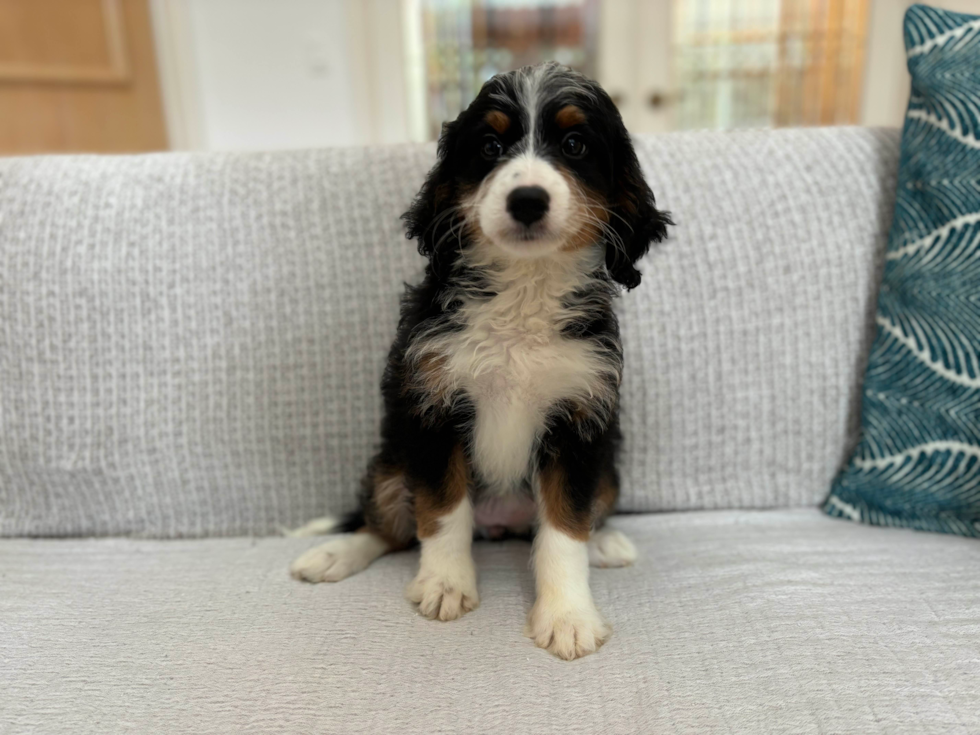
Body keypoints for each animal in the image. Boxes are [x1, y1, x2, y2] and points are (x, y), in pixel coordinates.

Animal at [290, 63, 668, 660]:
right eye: (490, 146)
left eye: (575, 145)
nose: (528, 200)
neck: (523, 289)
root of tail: (500, 524)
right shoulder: (431, 406)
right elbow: (443, 511)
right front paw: (445, 583)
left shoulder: (579, 417)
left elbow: (565, 527)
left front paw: (567, 616)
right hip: (391, 462)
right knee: (386, 525)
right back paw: (334, 555)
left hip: (609, 467)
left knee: (584, 513)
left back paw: (605, 540)